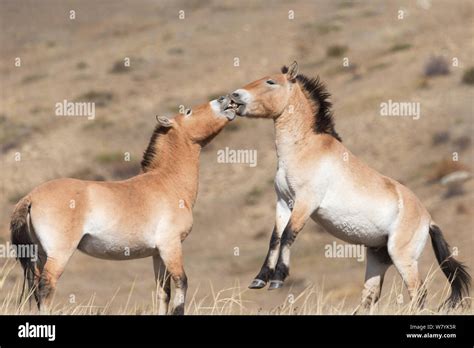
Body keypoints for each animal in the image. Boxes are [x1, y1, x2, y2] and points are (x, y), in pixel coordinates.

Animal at [12, 96, 237, 316]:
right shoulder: (171, 246)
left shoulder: (158, 254)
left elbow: (163, 293)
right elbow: (181, 284)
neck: (167, 182)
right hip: (58, 255)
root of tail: (30, 197)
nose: (227, 100)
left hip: (40, 256)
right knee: (45, 287)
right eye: (188, 111)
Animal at [229, 62, 470, 310]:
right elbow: (275, 239)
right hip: (378, 257)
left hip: (403, 258)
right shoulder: (283, 202)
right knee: (370, 298)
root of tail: (428, 220)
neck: (305, 148)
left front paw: (277, 279)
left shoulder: (306, 202)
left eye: (270, 82)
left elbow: (288, 235)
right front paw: (260, 279)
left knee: (418, 294)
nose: (235, 96)